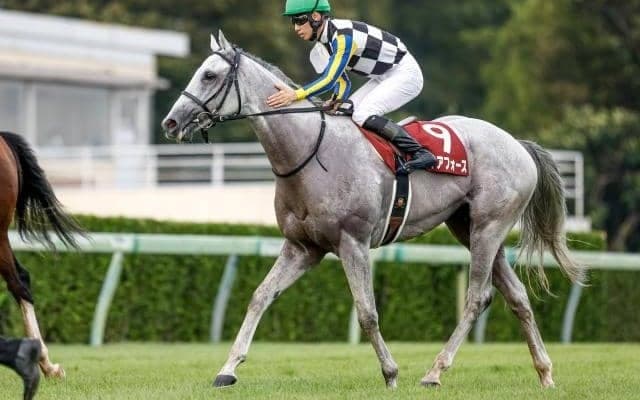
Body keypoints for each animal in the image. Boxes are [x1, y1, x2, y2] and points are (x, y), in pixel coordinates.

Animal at [162, 31, 584, 389]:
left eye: (210, 75)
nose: (170, 122)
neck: (310, 154)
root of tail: (517, 143)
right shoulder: (302, 248)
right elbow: (260, 296)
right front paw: (228, 368)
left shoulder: (353, 242)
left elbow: (367, 313)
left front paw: (391, 373)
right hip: (469, 227)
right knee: (517, 297)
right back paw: (545, 373)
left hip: (489, 226)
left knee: (477, 298)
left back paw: (434, 372)